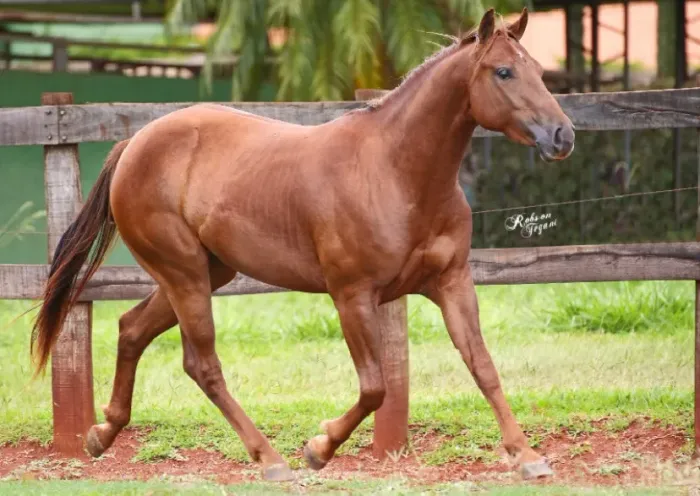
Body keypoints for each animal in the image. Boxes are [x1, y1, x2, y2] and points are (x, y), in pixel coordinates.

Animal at [30, 8, 574, 482]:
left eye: (536, 70)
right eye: (503, 71)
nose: (562, 135)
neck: (395, 172)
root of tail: (134, 144)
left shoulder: (451, 282)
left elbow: (483, 367)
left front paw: (529, 457)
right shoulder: (352, 295)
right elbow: (375, 387)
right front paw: (319, 448)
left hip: (204, 273)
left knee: (131, 330)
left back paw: (102, 434)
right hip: (184, 275)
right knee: (202, 364)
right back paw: (270, 460)